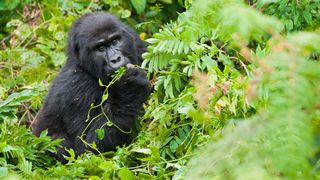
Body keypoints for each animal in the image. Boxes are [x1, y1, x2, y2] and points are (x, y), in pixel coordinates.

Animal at [30, 12, 151, 162]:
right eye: (100, 48)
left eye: (115, 41)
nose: (116, 59)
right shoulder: (77, 88)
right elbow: (87, 149)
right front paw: (131, 89)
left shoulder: (135, 41)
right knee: (58, 141)